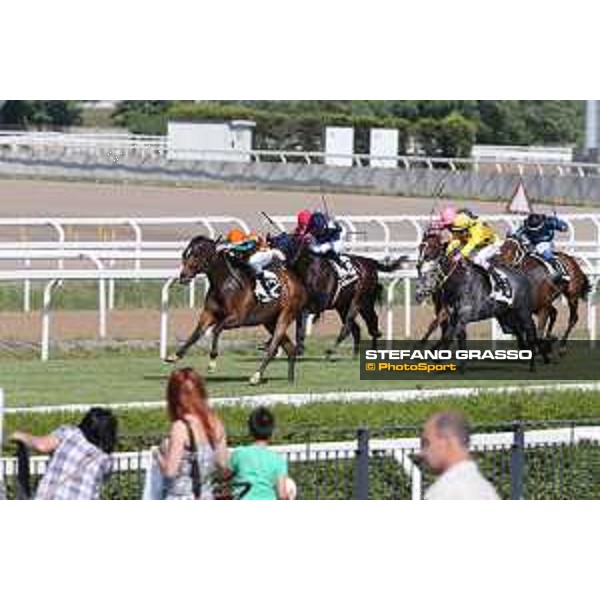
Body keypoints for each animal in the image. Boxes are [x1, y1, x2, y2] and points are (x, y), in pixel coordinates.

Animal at [166, 234, 308, 384]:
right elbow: (197, 333)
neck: (226, 283)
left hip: (285, 315)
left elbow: (216, 329)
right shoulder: (209, 314)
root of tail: (298, 282)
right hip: (269, 321)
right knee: (290, 348)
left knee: (273, 348)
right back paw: (290, 379)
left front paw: (212, 362)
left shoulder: (237, 318)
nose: (183, 276)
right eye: (185, 254)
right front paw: (175, 355)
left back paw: (256, 376)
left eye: (197, 254)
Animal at [272, 232, 408, 358]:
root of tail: (370, 262)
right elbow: (296, 324)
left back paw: (331, 351)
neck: (309, 269)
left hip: (358, 301)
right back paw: (358, 354)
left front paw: (298, 348)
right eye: (274, 244)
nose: (275, 263)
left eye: (286, 245)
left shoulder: (317, 304)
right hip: (349, 305)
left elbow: (302, 320)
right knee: (365, 325)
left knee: (350, 326)